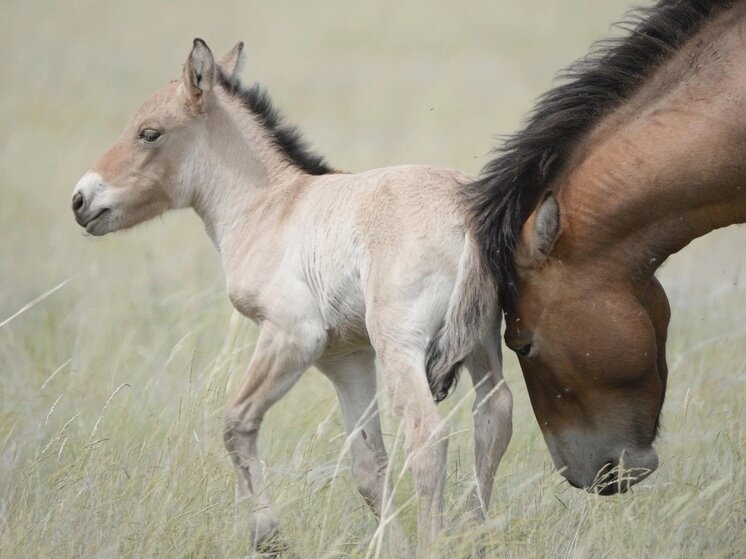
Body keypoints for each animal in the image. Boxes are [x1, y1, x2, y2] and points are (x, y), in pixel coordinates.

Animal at [71, 40, 512, 556]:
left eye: (149, 133)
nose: (80, 200)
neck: (272, 204)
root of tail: (469, 212)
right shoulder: (345, 358)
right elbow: (369, 465)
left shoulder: (293, 334)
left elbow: (236, 423)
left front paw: (269, 536)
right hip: (479, 340)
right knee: (494, 417)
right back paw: (471, 534)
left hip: (400, 344)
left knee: (428, 437)